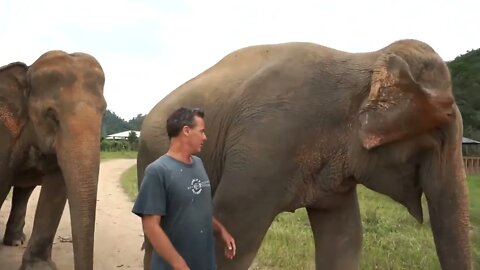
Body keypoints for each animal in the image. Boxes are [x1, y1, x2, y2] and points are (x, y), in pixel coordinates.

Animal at [136, 38, 472, 270]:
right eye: (440, 135)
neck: (366, 59)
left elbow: (345, 237)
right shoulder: (264, 145)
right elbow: (234, 233)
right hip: (148, 159)